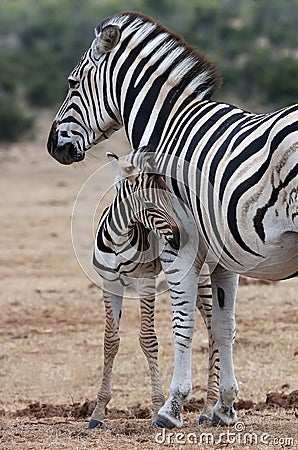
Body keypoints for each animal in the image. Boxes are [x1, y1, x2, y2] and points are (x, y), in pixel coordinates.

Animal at [47, 9, 296, 426]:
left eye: (71, 83)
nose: (53, 147)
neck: (170, 127)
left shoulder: (178, 245)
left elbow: (183, 323)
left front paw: (171, 406)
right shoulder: (224, 256)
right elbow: (223, 326)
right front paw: (224, 407)